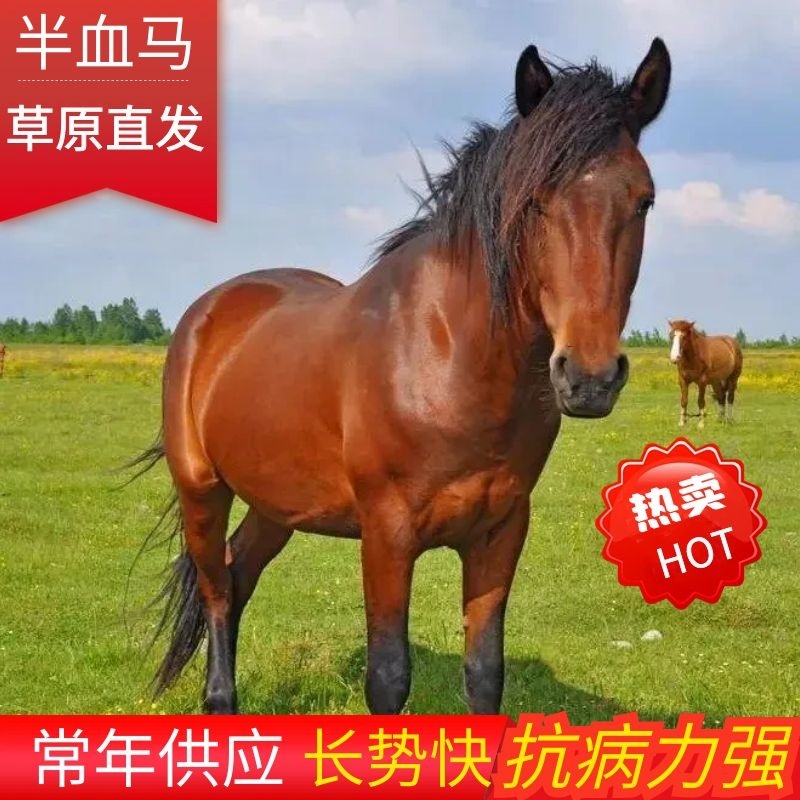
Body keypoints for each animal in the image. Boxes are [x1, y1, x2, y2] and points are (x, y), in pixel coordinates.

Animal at [132, 38, 671, 715]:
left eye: (644, 200)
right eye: (535, 201)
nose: (590, 378)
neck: (448, 361)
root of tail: (212, 309)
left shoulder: (499, 533)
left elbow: (485, 675)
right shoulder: (387, 536)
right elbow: (388, 678)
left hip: (276, 505)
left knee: (238, 571)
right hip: (202, 488)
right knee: (217, 589)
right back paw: (220, 703)